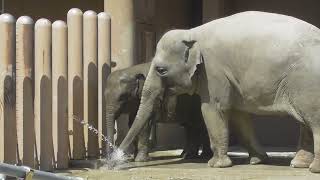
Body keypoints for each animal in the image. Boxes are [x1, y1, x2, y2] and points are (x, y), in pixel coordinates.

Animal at [119, 11, 320, 173]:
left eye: (161, 70)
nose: (117, 160)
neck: (192, 32)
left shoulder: (213, 71)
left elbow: (213, 109)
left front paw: (216, 165)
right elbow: (239, 116)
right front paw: (258, 161)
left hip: (307, 81)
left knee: (313, 121)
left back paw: (313, 169)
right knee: (305, 121)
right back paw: (298, 165)